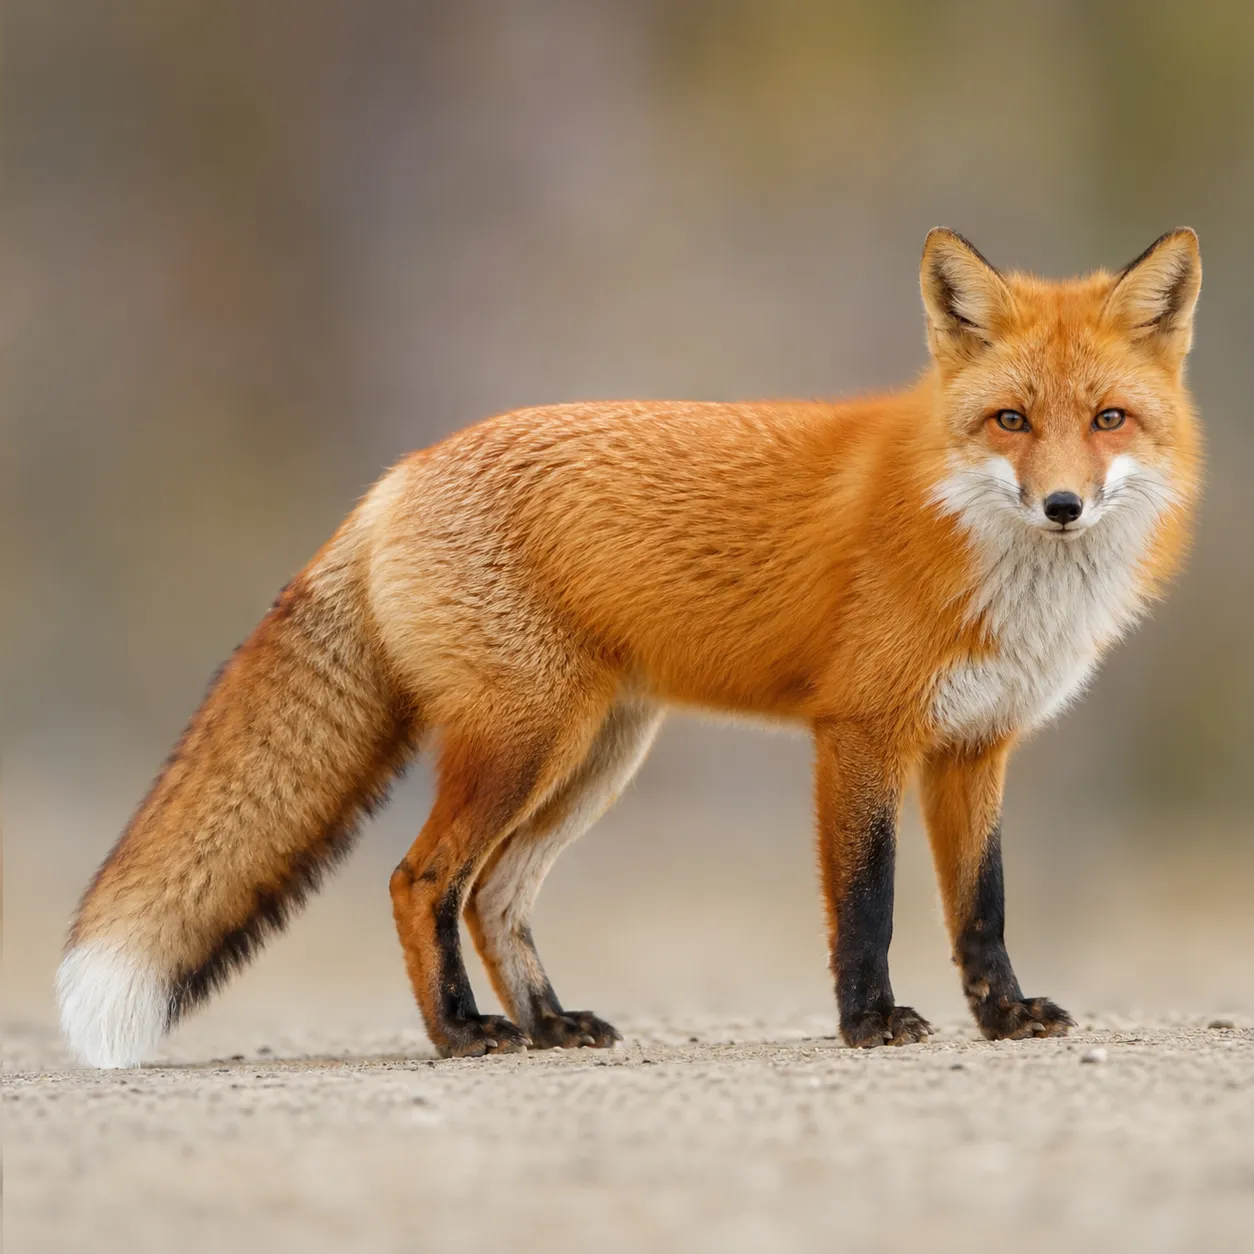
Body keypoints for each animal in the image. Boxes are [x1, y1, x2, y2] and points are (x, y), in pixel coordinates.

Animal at [58, 228, 1203, 1067]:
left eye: (1109, 419)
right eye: (1010, 420)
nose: (1063, 506)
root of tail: (399, 473)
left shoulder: (976, 746)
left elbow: (983, 908)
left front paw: (1005, 1017)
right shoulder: (860, 735)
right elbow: (868, 902)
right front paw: (870, 1023)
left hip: (593, 757)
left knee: (497, 896)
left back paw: (550, 1023)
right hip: (525, 743)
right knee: (422, 881)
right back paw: (462, 1033)